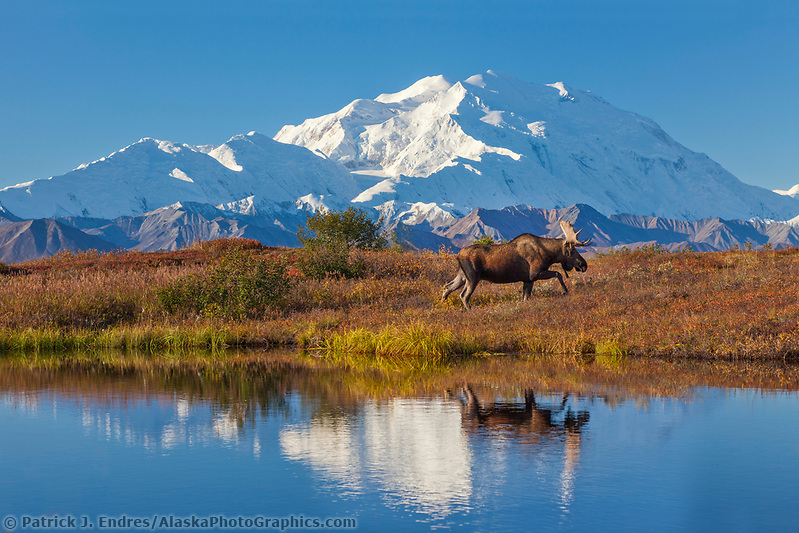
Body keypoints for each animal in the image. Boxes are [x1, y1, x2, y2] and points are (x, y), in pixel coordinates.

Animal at [444, 220, 592, 310]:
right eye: (572, 251)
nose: (583, 265)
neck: (548, 255)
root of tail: (458, 255)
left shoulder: (528, 279)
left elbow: (526, 297)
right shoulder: (535, 273)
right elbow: (559, 273)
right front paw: (564, 291)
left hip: (462, 276)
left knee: (447, 287)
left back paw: (442, 305)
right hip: (472, 277)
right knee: (464, 295)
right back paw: (470, 310)